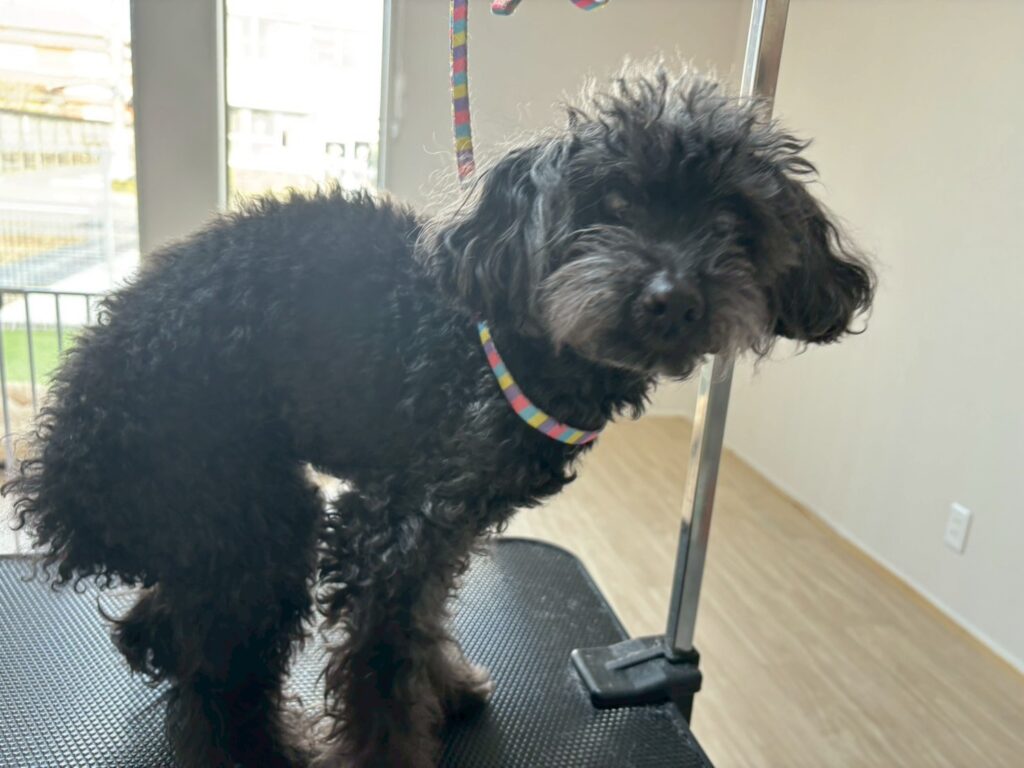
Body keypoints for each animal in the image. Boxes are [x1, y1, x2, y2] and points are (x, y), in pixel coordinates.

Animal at [5, 69, 874, 768]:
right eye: (613, 204)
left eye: (732, 219)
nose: (673, 298)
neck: (517, 340)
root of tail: (57, 468)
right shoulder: (393, 526)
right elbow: (383, 660)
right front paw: (388, 751)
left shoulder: (447, 522)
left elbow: (422, 622)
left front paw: (447, 685)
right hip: (244, 504)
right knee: (221, 676)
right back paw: (261, 747)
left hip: (222, 517)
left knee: (188, 625)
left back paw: (155, 640)